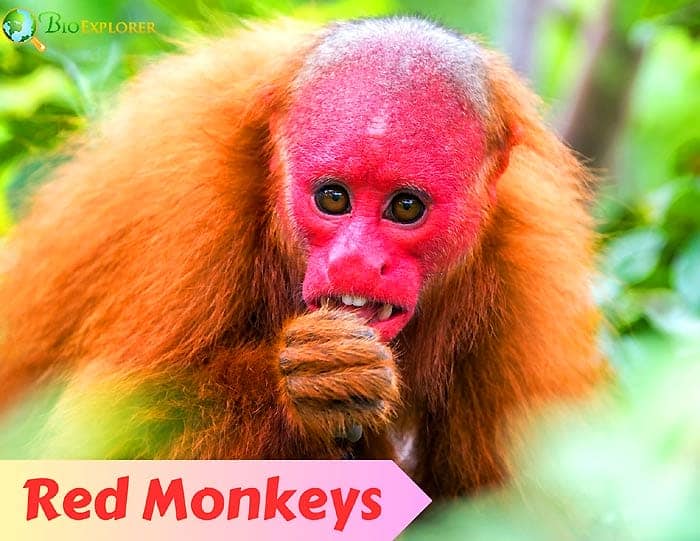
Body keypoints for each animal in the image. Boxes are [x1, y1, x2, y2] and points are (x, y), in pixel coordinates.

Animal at [0, 17, 604, 499]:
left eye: (406, 207)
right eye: (332, 198)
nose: (356, 262)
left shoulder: (528, 273)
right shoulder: (186, 200)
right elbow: (100, 456)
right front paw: (301, 382)